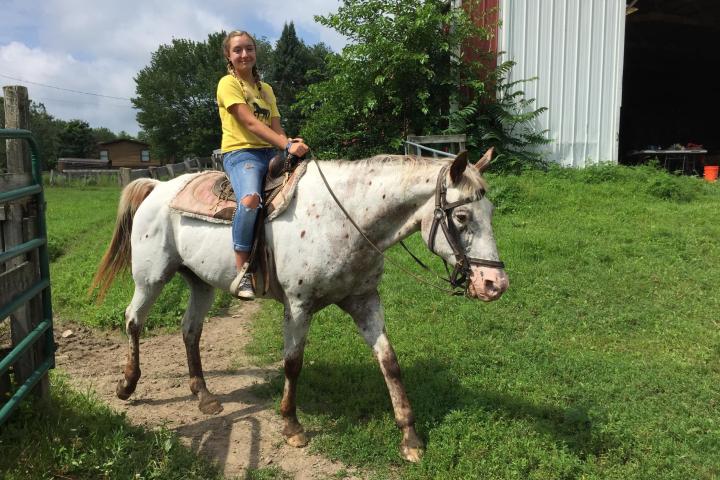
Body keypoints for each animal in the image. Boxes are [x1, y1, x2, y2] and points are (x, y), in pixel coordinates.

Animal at [91, 150, 509, 462]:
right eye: (461, 216)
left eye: (489, 213)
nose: (495, 285)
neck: (346, 218)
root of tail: (158, 187)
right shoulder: (298, 305)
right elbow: (293, 363)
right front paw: (292, 426)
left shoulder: (364, 301)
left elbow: (389, 361)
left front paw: (410, 438)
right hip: (151, 276)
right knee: (133, 321)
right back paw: (127, 385)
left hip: (201, 283)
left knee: (190, 330)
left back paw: (205, 396)